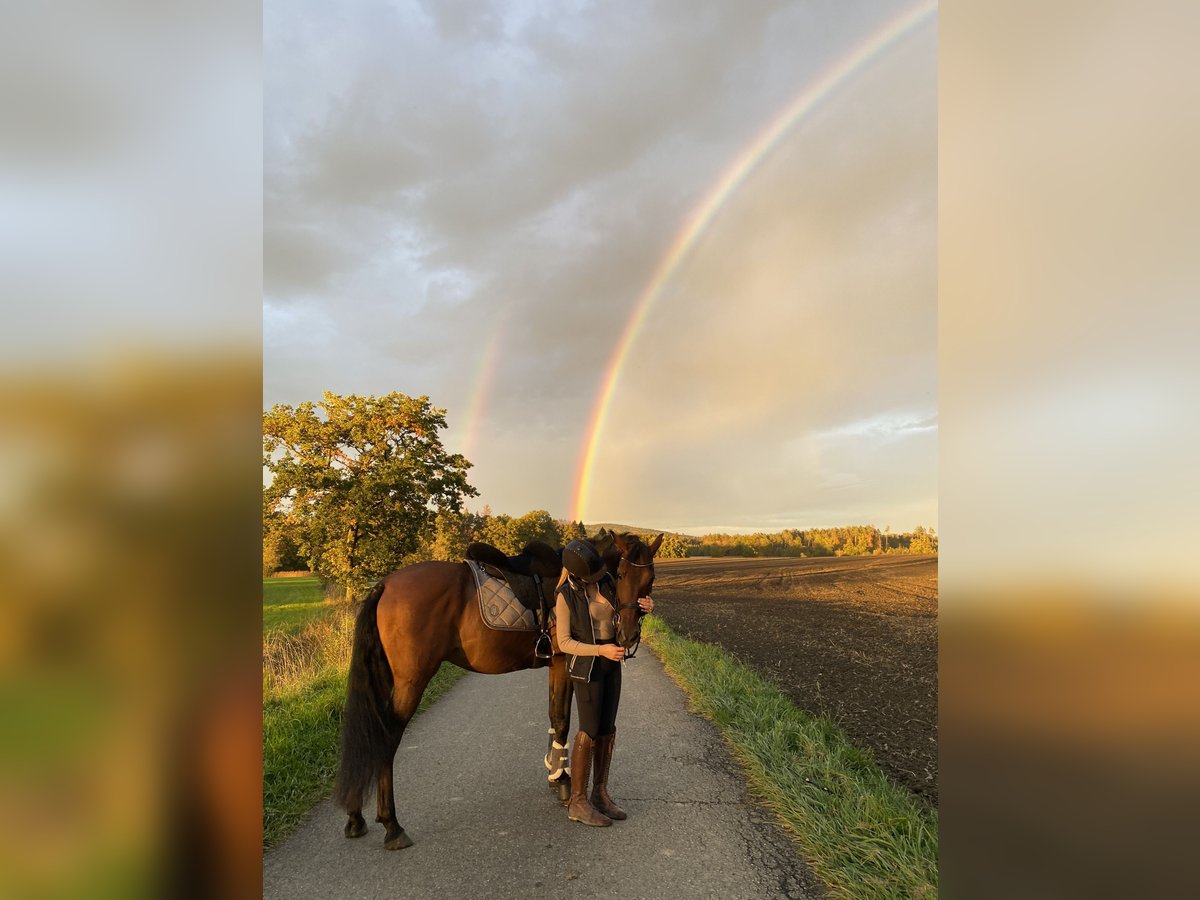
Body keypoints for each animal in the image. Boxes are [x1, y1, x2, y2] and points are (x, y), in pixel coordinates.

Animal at [333, 528, 662, 854]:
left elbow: (554, 718)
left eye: (651, 579)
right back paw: (392, 825)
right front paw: (564, 783)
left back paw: (355, 817)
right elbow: (562, 721)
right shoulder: (562, 662)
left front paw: (554, 773)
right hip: (410, 683)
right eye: (620, 574)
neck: (577, 582)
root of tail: (386, 584)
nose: (628, 635)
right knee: (385, 740)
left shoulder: (553, 665)